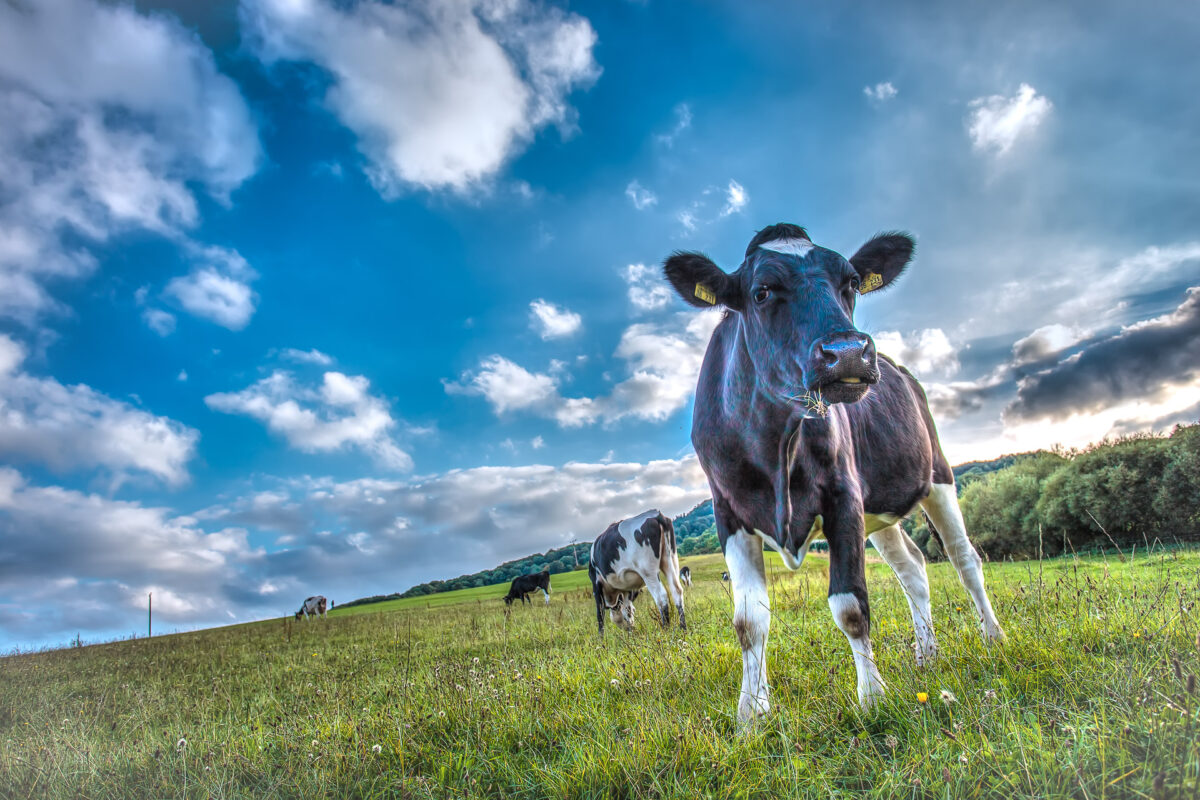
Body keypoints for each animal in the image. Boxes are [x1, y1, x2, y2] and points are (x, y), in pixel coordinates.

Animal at [662, 224, 1008, 724]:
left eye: (851, 283)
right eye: (762, 291)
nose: (848, 353)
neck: (773, 439)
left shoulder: (843, 496)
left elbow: (851, 606)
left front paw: (873, 698)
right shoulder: (728, 513)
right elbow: (748, 621)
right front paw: (751, 713)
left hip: (938, 475)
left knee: (965, 559)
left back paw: (993, 636)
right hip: (879, 509)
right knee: (913, 568)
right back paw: (927, 655)